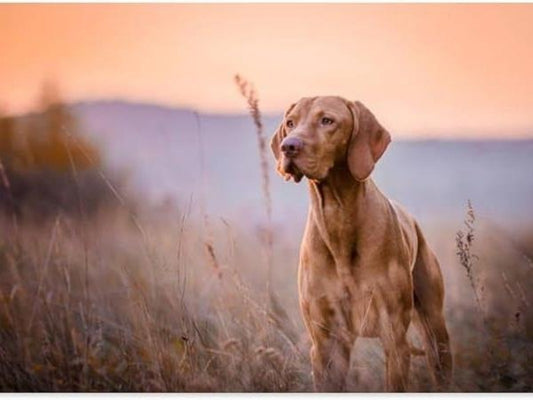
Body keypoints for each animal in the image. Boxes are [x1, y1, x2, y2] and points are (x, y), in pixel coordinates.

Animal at [272, 96, 450, 390]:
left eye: (327, 120)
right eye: (290, 123)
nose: (288, 146)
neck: (337, 218)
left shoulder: (394, 338)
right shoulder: (326, 344)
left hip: (435, 329)